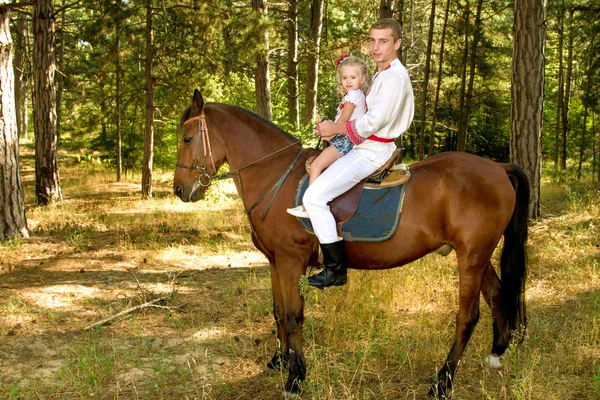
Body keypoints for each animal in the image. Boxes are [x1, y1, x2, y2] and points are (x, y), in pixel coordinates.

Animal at [173, 89, 528, 398]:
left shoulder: (290, 261)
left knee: (467, 316)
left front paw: (296, 378)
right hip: (478, 256)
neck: (275, 175)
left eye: (187, 139)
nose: (179, 189)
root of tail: (498, 167)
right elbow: (277, 312)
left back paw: (442, 382)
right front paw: (281, 361)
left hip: (471, 257)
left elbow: (293, 315)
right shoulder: (275, 261)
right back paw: (497, 352)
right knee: (497, 294)